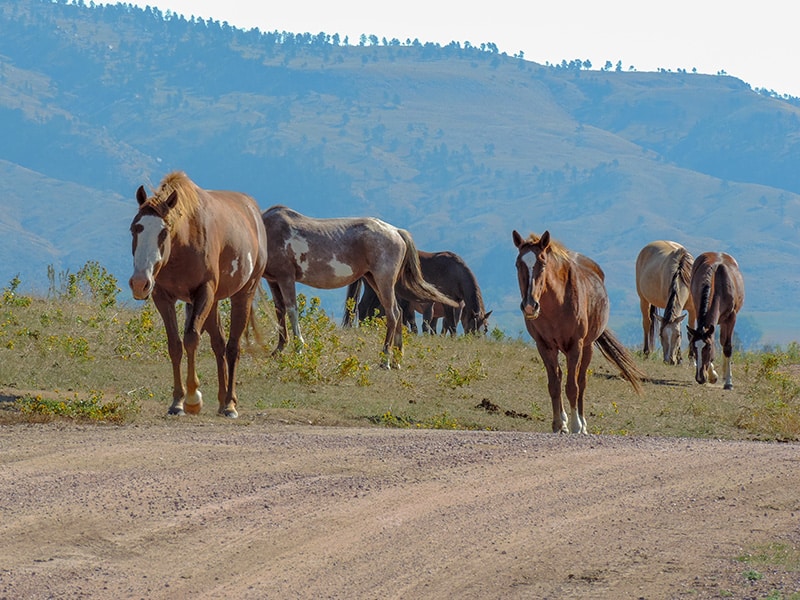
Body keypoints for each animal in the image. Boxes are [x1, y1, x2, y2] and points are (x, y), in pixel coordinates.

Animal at [126, 171, 268, 420]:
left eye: (164, 231)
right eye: (135, 228)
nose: (140, 283)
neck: (183, 244)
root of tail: (252, 210)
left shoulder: (204, 292)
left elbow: (191, 338)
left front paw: (193, 399)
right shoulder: (163, 297)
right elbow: (175, 344)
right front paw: (177, 402)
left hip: (242, 294)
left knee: (232, 347)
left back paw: (230, 404)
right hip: (214, 303)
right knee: (219, 344)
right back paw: (221, 401)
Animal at [262, 204, 456, 368]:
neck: (267, 231)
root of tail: (396, 232)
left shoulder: (286, 277)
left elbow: (292, 310)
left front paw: (299, 349)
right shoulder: (274, 280)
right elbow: (280, 310)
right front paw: (278, 349)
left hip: (383, 280)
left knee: (393, 314)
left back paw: (385, 360)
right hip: (373, 280)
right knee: (399, 312)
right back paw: (396, 360)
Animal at [512, 229, 644, 432]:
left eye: (542, 263)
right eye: (518, 264)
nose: (529, 305)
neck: (557, 305)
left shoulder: (575, 346)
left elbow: (573, 387)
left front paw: (576, 425)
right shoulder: (544, 346)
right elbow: (554, 385)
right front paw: (559, 424)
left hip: (587, 347)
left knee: (581, 382)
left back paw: (582, 423)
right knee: (560, 378)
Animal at [684, 252, 748, 390]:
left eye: (708, 348)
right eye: (693, 347)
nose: (700, 377)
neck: (719, 284)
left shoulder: (731, 317)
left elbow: (727, 346)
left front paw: (728, 382)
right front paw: (712, 375)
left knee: (724, 342)